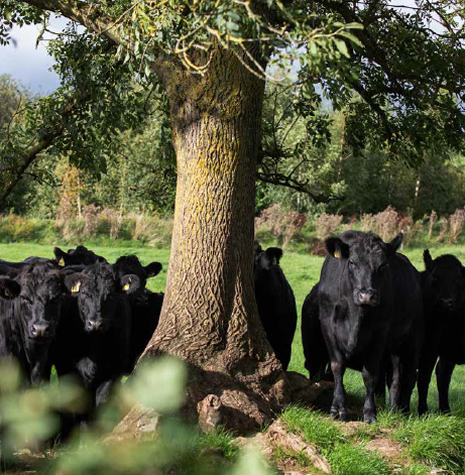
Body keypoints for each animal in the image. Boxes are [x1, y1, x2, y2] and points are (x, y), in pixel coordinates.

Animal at [318, 232, 422, 422]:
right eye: (352, 262)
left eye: (383, 265)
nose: (366, 295)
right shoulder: (327, 326)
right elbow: (337, 366)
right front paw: (338, 408)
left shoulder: (379, 333)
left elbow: (370, 375)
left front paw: (369, 412)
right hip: (394, 346)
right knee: (395, 376)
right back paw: (393, 409)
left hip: (414, 336)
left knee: (408, 375)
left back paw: (402, 410)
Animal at [416, 251, 464, 414]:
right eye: (435, 277)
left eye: (458, 279)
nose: (445, 301)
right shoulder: (430, 346)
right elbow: (424, 376)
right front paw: (423, 411)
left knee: (443, 373)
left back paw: (445, 410)